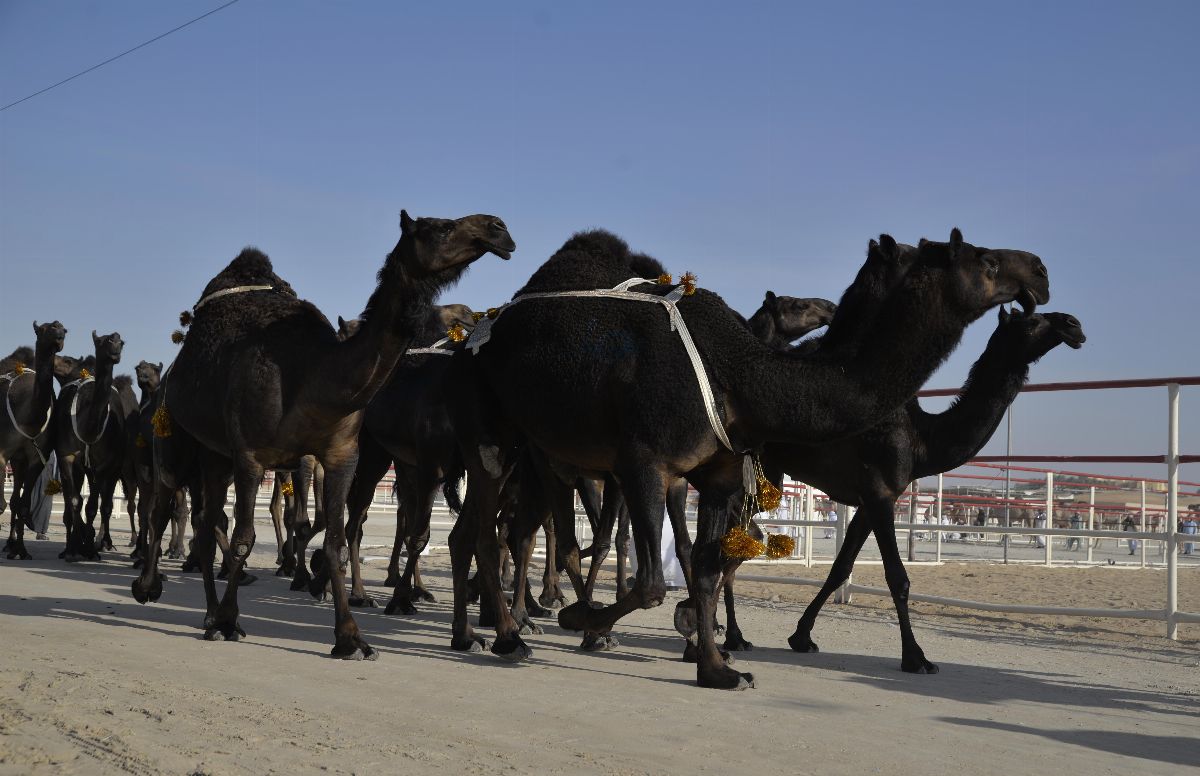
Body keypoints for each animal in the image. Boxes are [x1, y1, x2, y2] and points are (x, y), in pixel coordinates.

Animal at [1, 321, 67, 558]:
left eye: (63, 329)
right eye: (44, 329)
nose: (59, 336)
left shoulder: (36, 458)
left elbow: (22, 504)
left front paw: (21, 550)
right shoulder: (2, 452)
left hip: (20, 461)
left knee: (15, 499)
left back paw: (10, 544)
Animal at [131, 209, 516, 657]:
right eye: (440, 227)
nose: (499, 229)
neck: (315, 376)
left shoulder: (340, 455)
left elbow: (335, 541)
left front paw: (350, 636)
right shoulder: (252, 456)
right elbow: (246, 537)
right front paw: (230, 620)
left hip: (216, 455)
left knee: (208, 522)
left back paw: (207, 612)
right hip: (175, 436)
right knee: (162, 504)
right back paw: (149, 587)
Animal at [446, 227, 1046, 690]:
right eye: (986, 261)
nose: (1038, 269)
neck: (742, 374)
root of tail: (479, 328)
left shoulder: (719, 474)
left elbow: (706, 565)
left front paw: (717, 668)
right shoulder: (644, 462)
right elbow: (651, 581)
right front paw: (582, 618)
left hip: (543, 450)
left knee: (490, 532)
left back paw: (484, 630)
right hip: (498, 432)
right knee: (496, 532)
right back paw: (510, 635)